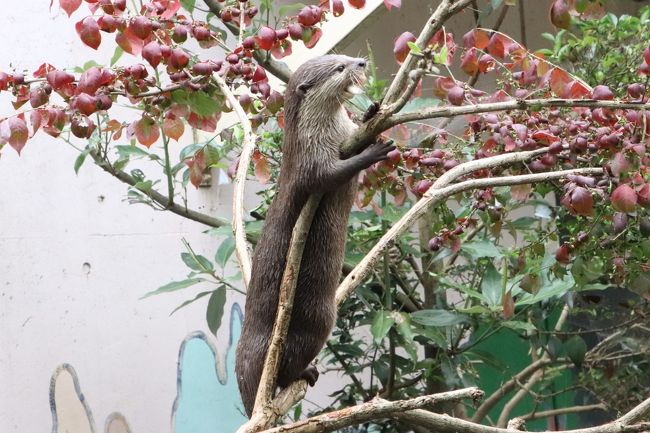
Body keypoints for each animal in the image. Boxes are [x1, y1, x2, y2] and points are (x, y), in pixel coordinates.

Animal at [235, 54, 392, 416]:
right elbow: (327, 175)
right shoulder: (310, 158)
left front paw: (371, 112)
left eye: (345, 59)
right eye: (338, 69)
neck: (330, 131)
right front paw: (372, 153)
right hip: (317, 319)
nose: (360, 62)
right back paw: (302, 372)